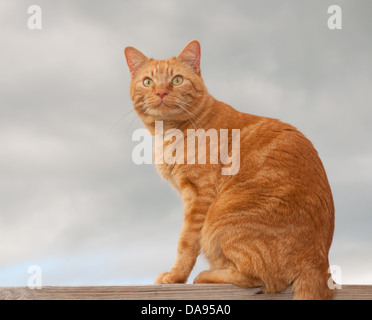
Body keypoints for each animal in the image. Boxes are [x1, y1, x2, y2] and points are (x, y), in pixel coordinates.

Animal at [123, 41, 336, 298]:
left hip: (221, 218)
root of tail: (319, 263)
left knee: (257, 278)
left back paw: (205, 276)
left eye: (177, 80)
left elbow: (186, 242)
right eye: (148, 82)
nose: (161, 92)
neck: (170, 133)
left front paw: (175, 277)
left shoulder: (199, 197)